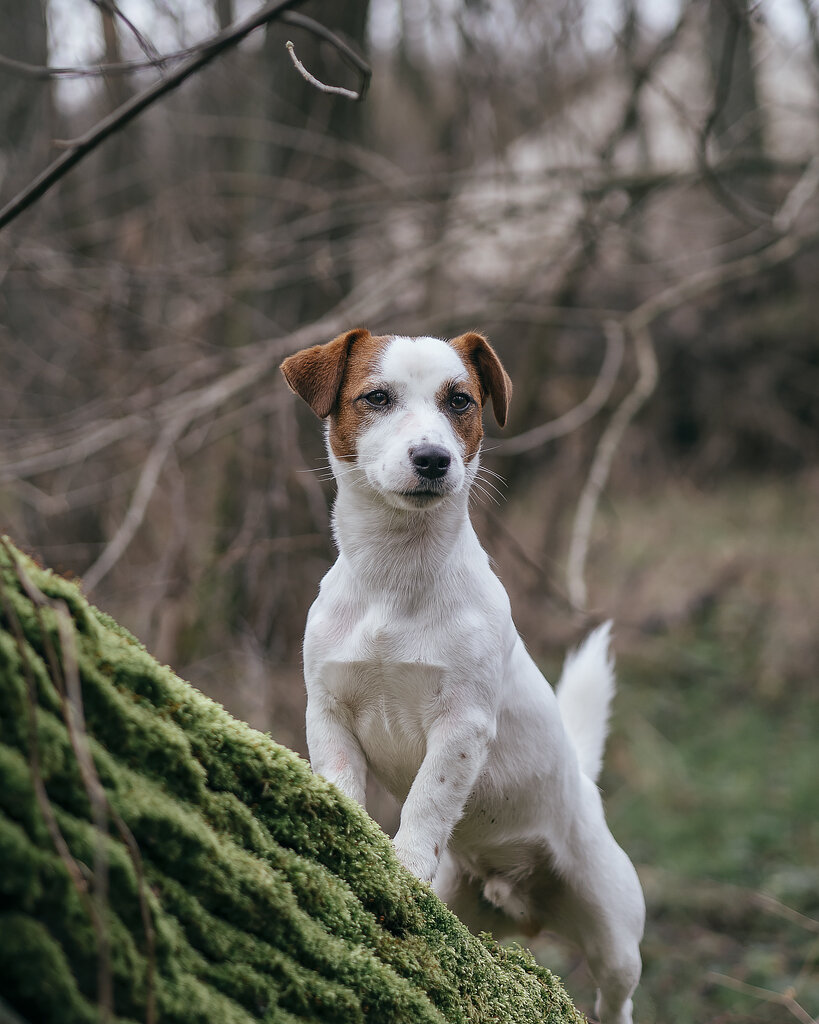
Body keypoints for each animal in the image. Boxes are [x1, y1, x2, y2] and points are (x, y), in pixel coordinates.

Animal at [282, 329, 647, 1024]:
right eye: (376, 397)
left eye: (460, 402)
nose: (432, 459)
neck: (395, 579)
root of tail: (522, 903)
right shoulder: (327, 709)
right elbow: (343, 781)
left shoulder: (462, 726)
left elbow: (427, 800)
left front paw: (403, 862)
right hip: (464, 900)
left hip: (615, 931)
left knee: (617, 994)